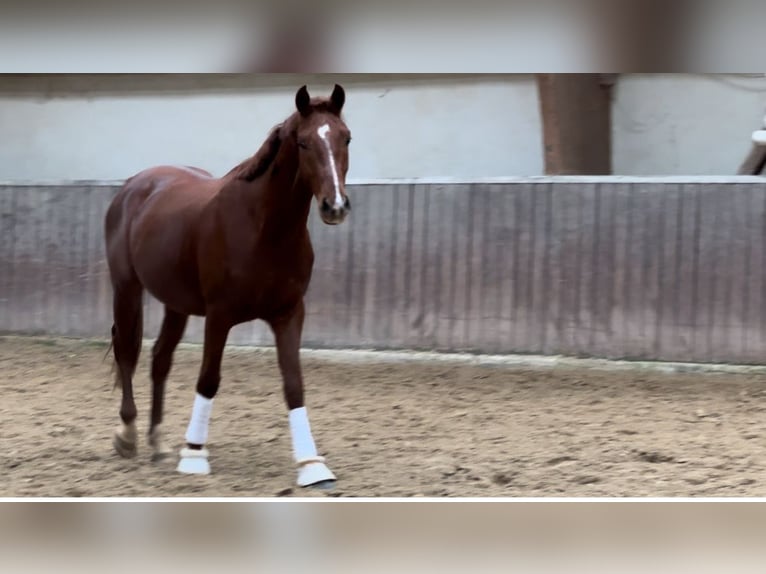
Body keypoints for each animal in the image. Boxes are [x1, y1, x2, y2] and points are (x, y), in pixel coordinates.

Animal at [103, 84, 352, 490]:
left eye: (346, 137)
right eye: (303, 143)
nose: (336, 206)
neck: (264, 229)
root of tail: (135, 186)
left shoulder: (288, 314)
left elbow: (294, 384)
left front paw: (312, 466)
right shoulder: (219, 316)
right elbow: (208, 380)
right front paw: (194, 455)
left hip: (176, 303)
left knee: (160, 359)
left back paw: (157, 442)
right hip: (126, 288)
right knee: (128, 352)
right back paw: (128, 434)